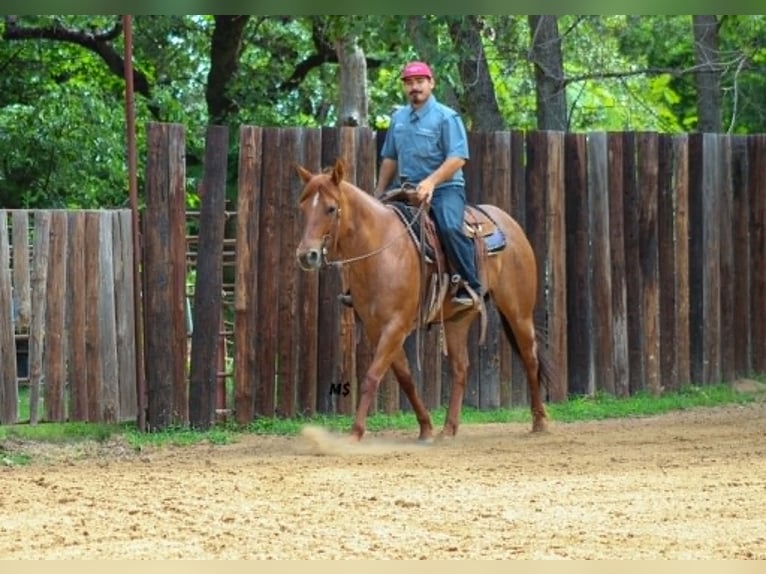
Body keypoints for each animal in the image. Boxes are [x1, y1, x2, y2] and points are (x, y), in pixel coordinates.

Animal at [295, 159, 553, 442]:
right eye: (303, 207)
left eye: (331, 209)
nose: (306, 255)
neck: (382, 251)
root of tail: (509, 224)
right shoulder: (377, 329)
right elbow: (405, 378)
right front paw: (426, 427)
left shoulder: (395, 326)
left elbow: (372, 376)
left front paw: (355, 433)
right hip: (457, 320)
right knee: (460, 368)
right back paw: (448, 429)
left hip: (519, 311)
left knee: (530, 357)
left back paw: (540, 421)